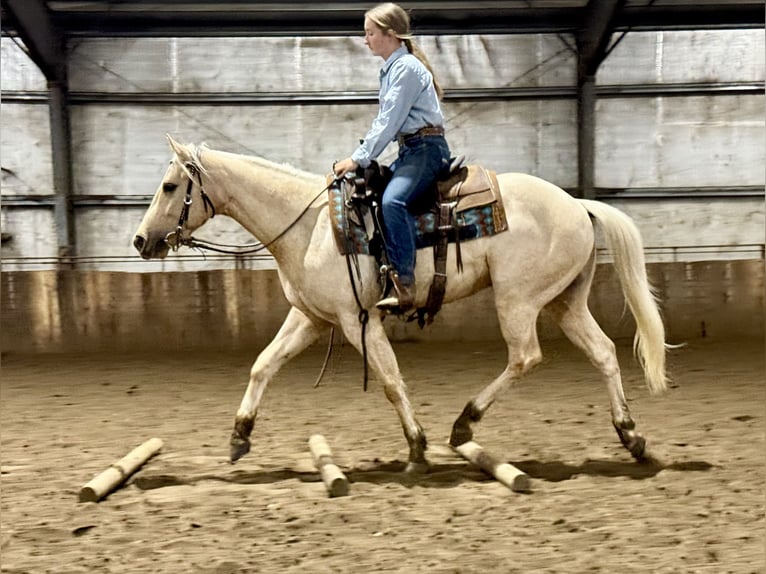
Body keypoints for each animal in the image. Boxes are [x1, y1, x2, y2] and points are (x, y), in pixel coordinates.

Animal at [132, 137, 664, 474]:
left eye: (170, 186)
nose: (140, 240)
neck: (310, 226)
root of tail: (578, 204)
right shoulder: (310, 318)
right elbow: (263, 365)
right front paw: (239, 436)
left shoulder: (357, 320)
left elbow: (390, 381)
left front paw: (416, 448)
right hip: (563, 302)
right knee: (603, 352)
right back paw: (631, 436)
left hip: (519, 299)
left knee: (525, 356)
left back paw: (463, 425)